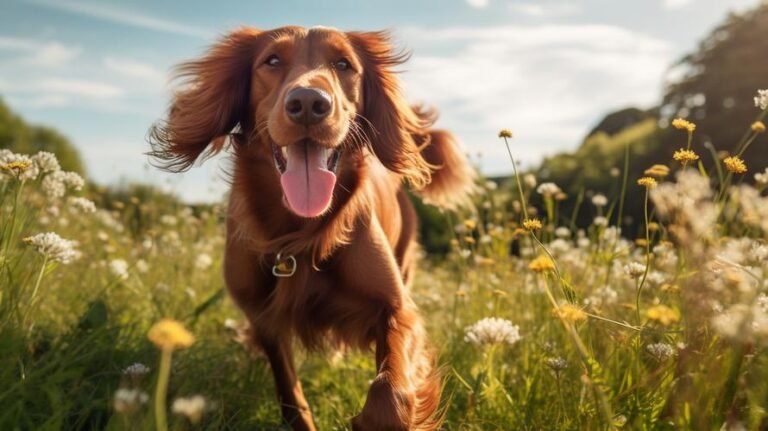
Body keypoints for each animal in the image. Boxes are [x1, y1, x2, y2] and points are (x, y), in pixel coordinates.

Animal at [148, 27, 474, 431]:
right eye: (271, 61)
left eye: (344, 64)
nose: (307, 103)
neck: (300, 232)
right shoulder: (264, 318)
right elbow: (291, 396)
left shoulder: (399, 310)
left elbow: (391, 391)